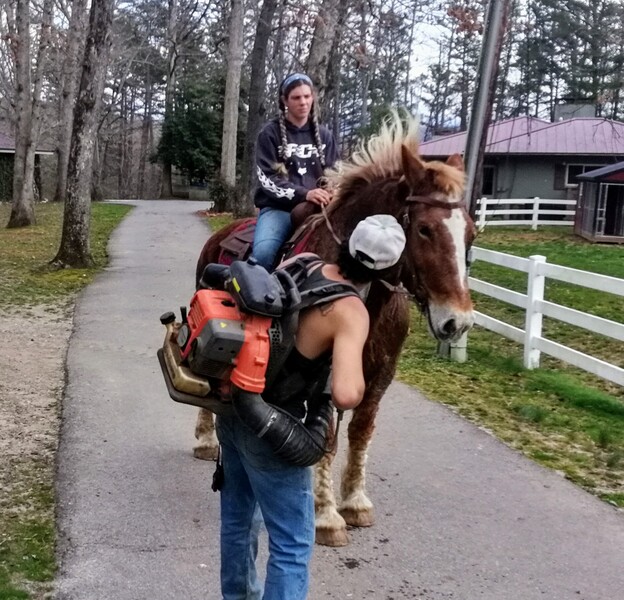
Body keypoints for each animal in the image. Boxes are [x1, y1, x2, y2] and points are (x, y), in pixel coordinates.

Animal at [193, 113, 476, 548]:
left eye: (471, 233)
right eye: (425, 229)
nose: (456, 321)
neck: (364, 286)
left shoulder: (379, 375)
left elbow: (360, 432)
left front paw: (355, 501)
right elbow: (327, 438)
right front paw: (326, 515)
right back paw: (207, 439)